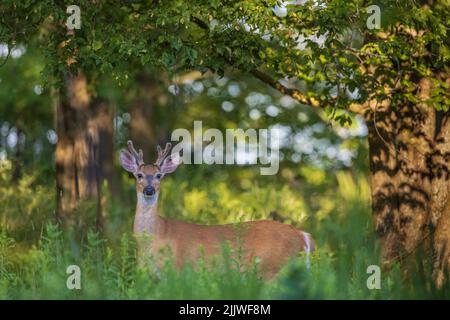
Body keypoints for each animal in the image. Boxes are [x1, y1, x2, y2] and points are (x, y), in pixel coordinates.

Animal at [121, 140, 314, 278]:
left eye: (159, 175)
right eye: (139, 175)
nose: (149, 190)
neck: (157, 234)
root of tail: (302, 235)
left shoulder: (179, 270)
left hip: (272, 268)